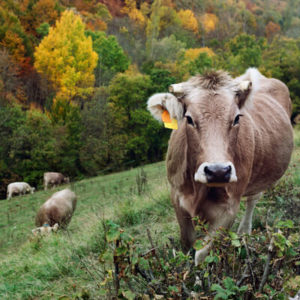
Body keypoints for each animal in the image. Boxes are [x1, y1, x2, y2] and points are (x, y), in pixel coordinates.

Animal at [148, 68, 292, 264]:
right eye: (189, 119)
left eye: (237, 118)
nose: (218, 171)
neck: (198, 189)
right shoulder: (176, 196)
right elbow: (187, 243)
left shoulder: (229, 207)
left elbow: (201, 254)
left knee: (252, 200)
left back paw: (244, 232)